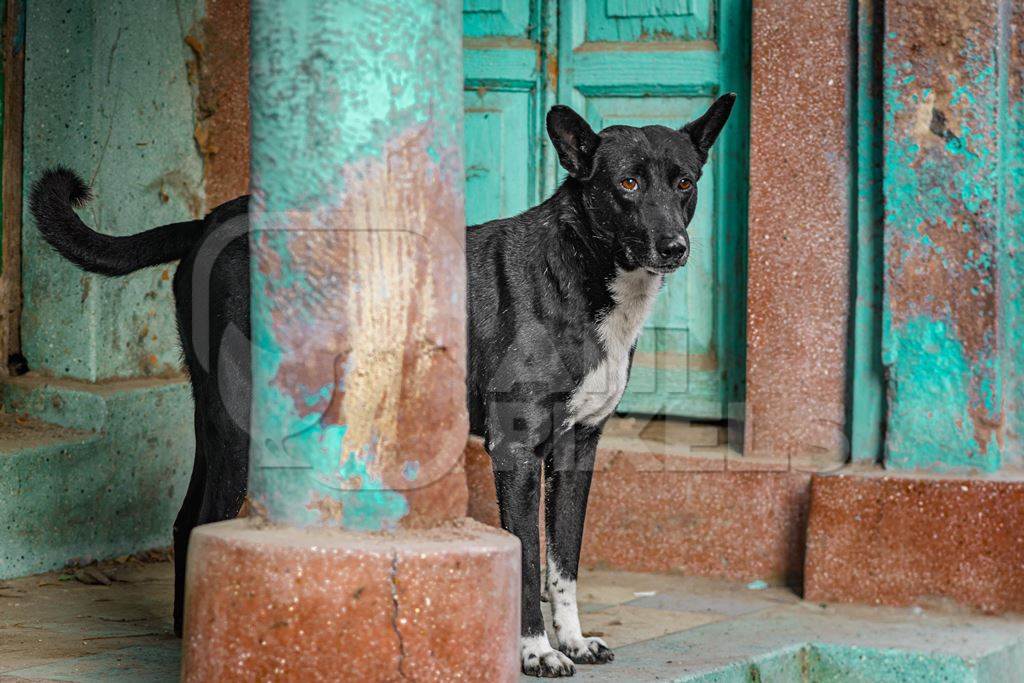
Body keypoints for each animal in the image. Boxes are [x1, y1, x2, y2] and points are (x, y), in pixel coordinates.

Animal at [32, 96, 733, 679]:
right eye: (627, 183)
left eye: (685, 182)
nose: (674, 246)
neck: (583, 268)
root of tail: (210, 218)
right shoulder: (514, 452)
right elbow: (527, 558)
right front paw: (535, 652)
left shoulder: (576, 451)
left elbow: (563, 561)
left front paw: (575, 642)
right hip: (241, 424)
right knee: (206, 521)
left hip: (217, 418)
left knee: (184, 523)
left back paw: (192, 641)